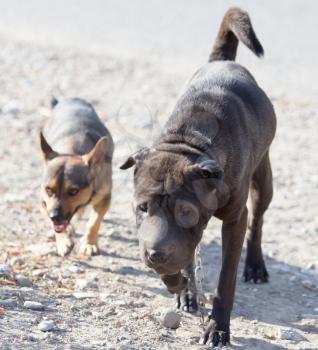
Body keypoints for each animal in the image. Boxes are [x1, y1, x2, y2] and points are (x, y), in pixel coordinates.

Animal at [40, 97, 113, 256]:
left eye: (73, 191)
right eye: (48, 190)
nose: (54, 217)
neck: (72, 150)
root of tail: (70, 99)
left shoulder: (105, 198)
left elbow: (94, 222)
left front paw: (89, 244)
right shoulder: (45, 204)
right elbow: (57, 226)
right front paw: (63, 241)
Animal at [121, 7, 276, 348]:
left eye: (185, 211)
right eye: (142, 208)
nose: (154, 254)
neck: (190, 141)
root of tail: (222, 61)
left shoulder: (234, 219)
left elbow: (225, 280)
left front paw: (218, 327)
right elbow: (182, 257)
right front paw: (179, 285)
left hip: (263, 178)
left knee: (258, 220)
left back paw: (255, 266)